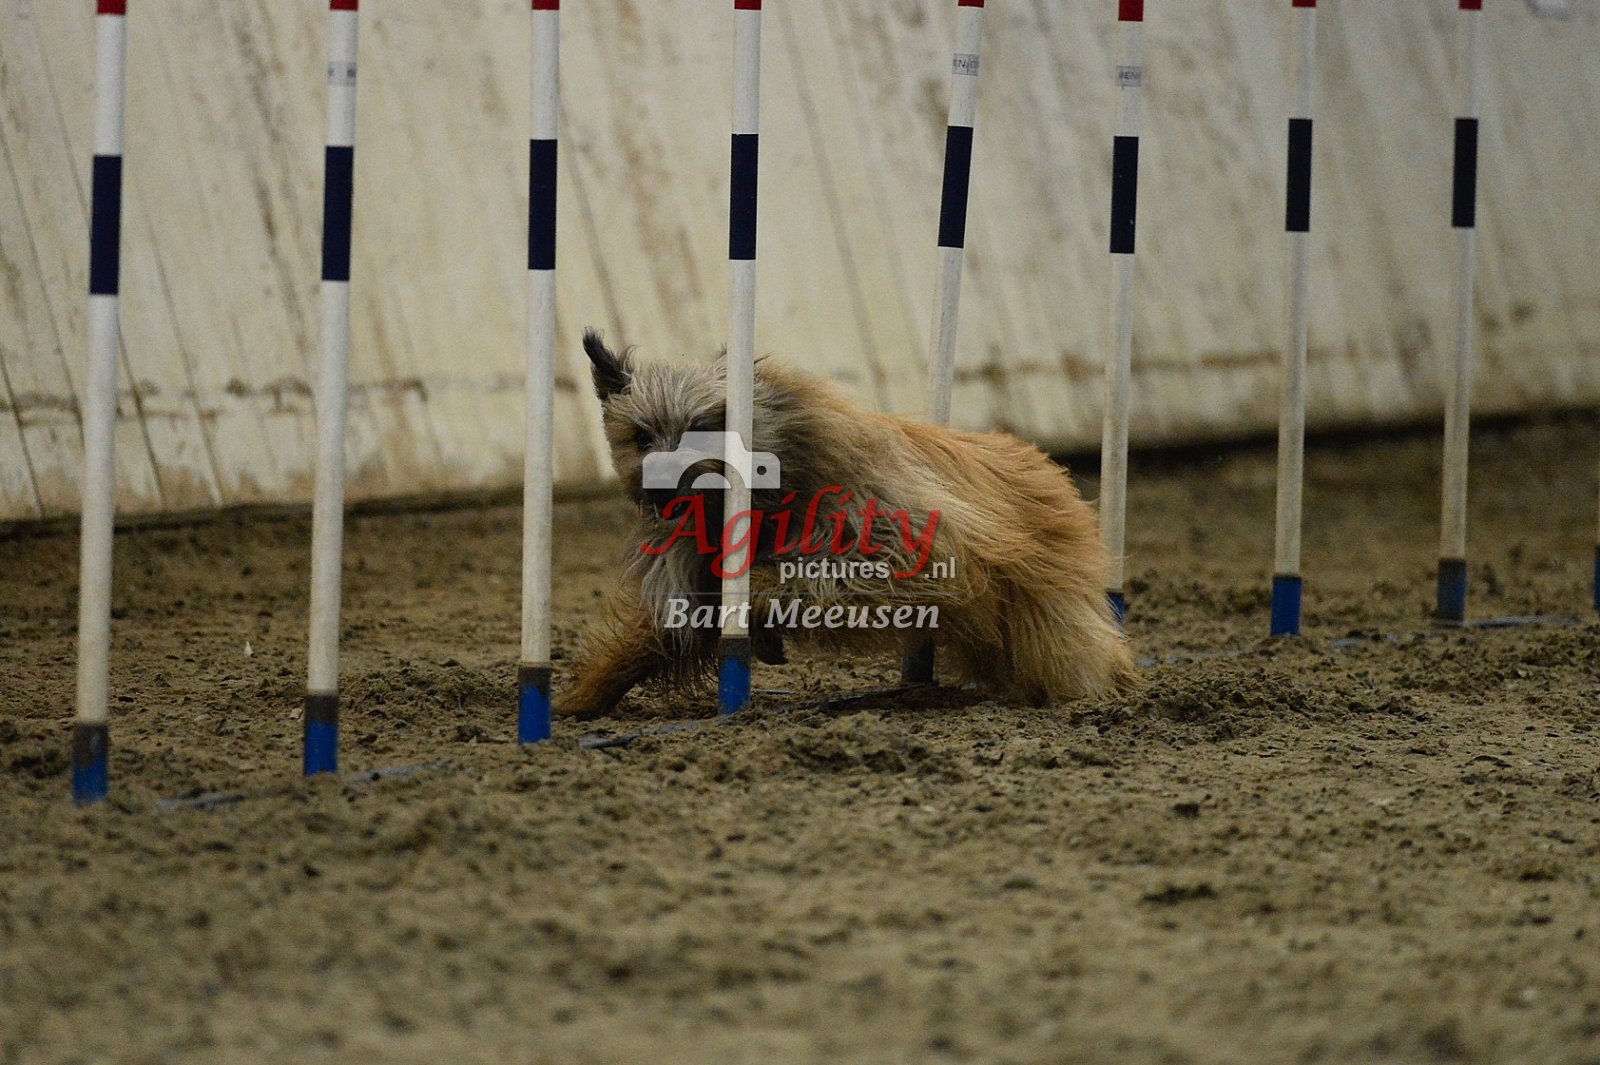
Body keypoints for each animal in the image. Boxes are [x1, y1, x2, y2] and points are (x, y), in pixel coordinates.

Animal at [552, 329, 1138, 717]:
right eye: (640, 435)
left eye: (700, 427)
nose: (660, 489)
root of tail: (1043, 465)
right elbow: (653, 638)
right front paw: (579, 701)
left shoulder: (895, 544)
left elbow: (792, 576)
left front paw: (760, 609)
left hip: (1044, 608)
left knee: (1074, 650)